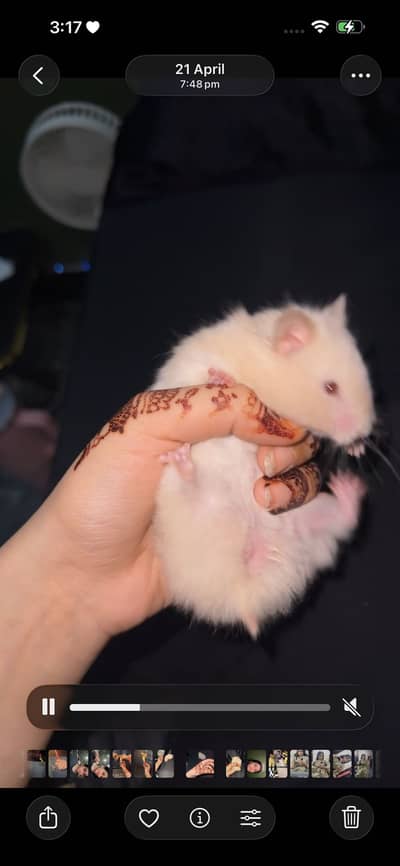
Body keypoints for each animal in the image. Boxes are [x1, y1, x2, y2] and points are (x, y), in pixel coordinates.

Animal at [151, 295, 375, 637]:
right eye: (331, 388)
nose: (364, 433)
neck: (266, 369)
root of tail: (241, 594)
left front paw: (357, 449)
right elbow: (213, 376)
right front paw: (221, 378)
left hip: (310, 520)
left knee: (342, 522)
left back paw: (348, 488)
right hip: (197, 511)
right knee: (193, 488)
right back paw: (182, 463)